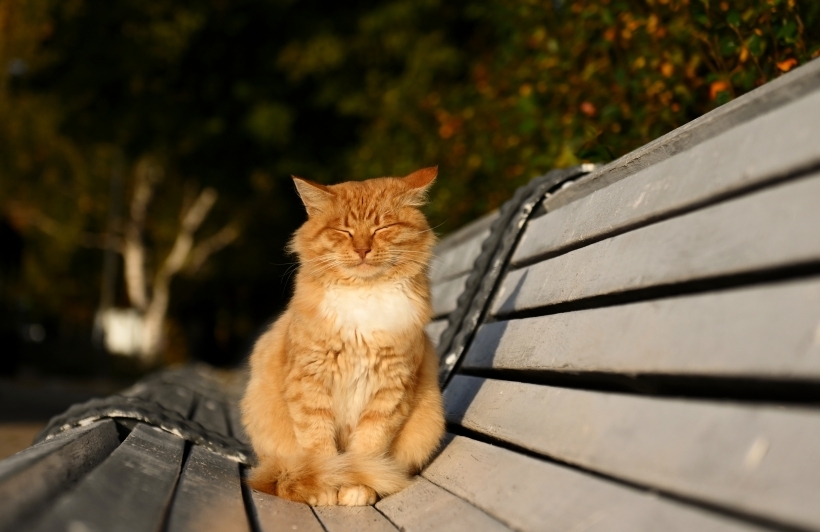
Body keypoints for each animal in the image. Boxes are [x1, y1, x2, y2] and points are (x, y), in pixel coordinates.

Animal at [242, 168, 446, 504]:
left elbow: (366, 450)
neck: (363, 298)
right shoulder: (309, 383)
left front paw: (356, 488)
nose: (362, 249)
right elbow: (321, 450)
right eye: (344, 231)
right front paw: (325, 488)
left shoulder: (391, 389)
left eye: (382, 228)